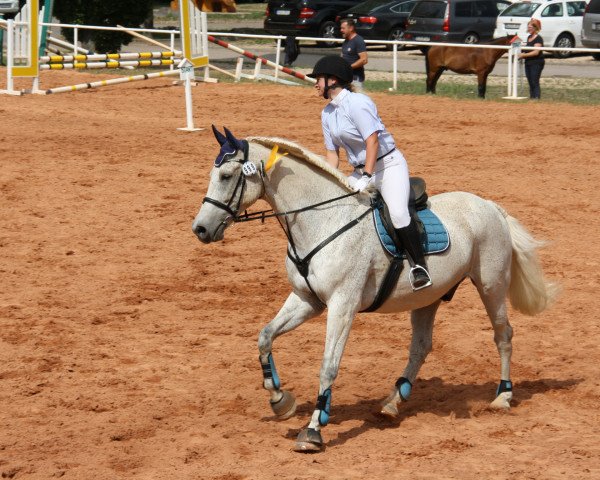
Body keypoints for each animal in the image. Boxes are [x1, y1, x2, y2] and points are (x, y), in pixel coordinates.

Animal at [192, 126, 556, 450]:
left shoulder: (342, 305)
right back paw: (393, 402)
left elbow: (328, 365)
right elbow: (265, 336)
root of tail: (491, 206)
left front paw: (313, 430)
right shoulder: (307, 299)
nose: (200, 229)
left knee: (503, 334)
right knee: (421, 346)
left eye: (227, 175)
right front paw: (280, 399)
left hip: (491, 285)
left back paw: (503, 395)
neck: (322, 221)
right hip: (429, 296)